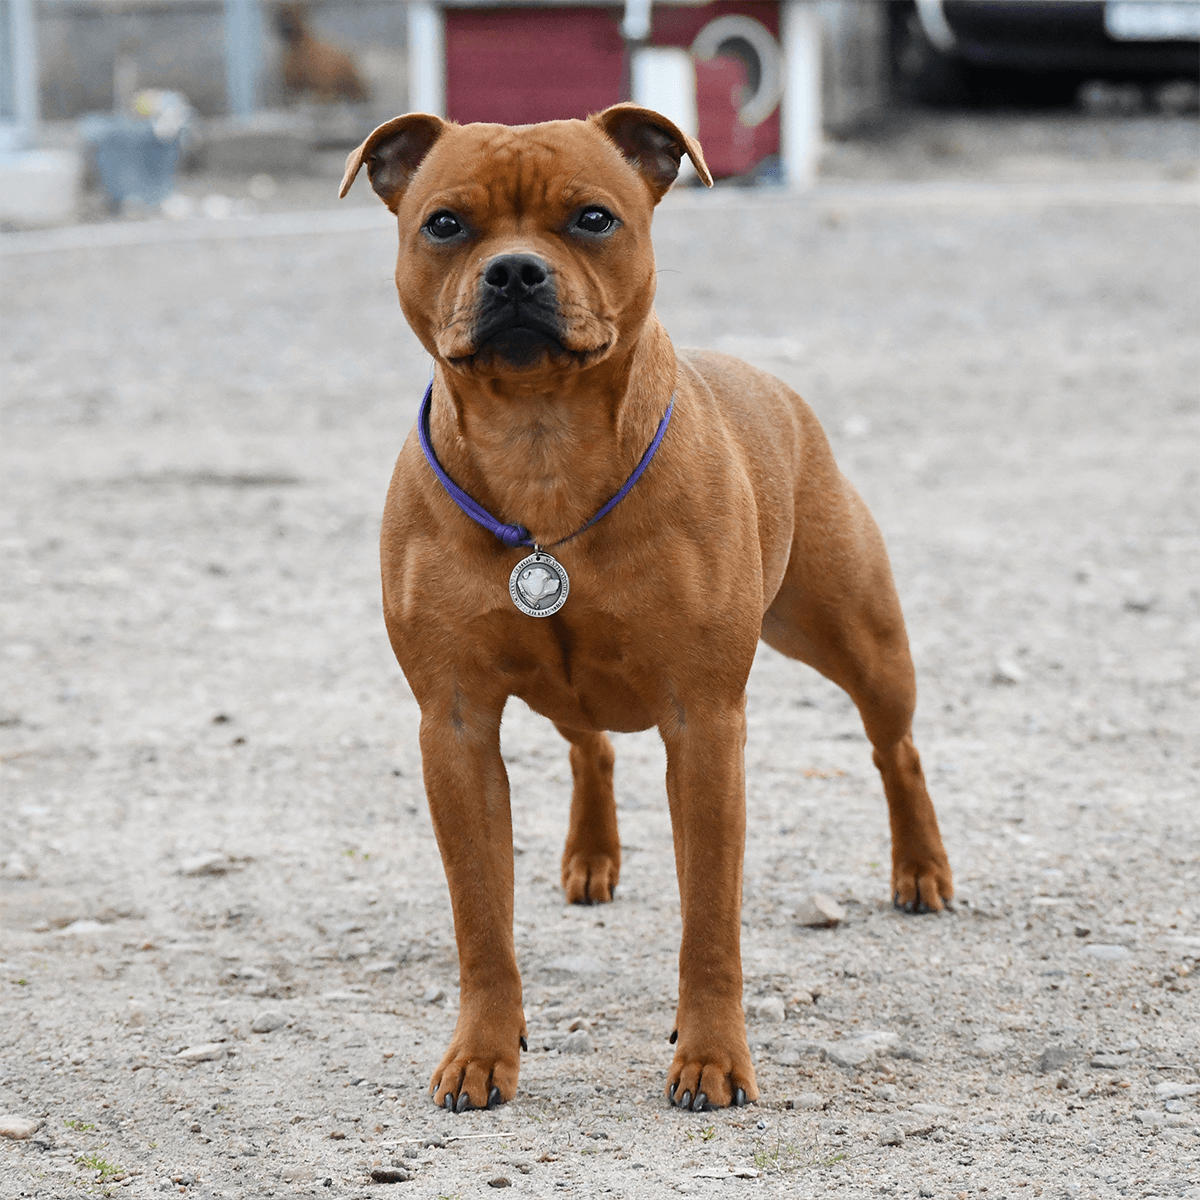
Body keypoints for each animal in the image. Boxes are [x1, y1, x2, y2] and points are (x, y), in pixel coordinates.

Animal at [343, 105, 950, 1113]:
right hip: (565, 688)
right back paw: (592, 857)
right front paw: (481, 1052)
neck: (540, 440)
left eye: (594, 218)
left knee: (893, 747)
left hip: (857, 637)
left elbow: (709, 918)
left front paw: (711, 1057)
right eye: (445, 224)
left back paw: (922, 869)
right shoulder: (455, 725)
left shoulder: (703, 722)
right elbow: (481, 918)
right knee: (588, 744)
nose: (515, 271)